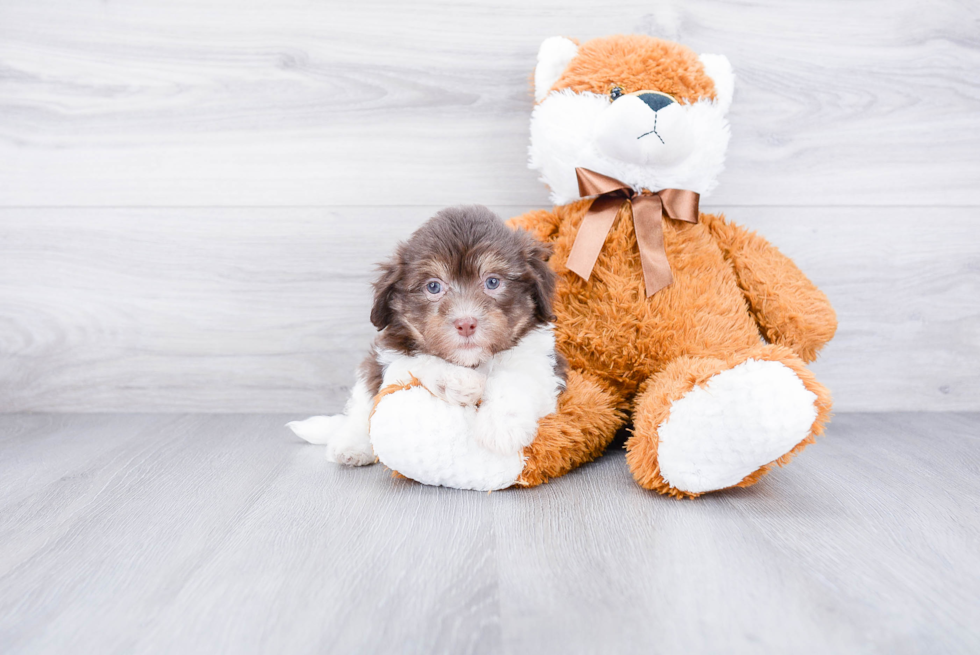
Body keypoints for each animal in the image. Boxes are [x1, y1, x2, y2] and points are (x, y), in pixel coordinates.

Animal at [290, 205, 568, 466]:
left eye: (492, 282)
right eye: (433, 286)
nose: (465, 323)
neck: (473, 361)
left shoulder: (543, 364)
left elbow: (517, 378)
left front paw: (501, 426)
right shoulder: (391, 357)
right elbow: (420, 361)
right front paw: (459, 381)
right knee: (361, 406)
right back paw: (351, 445)